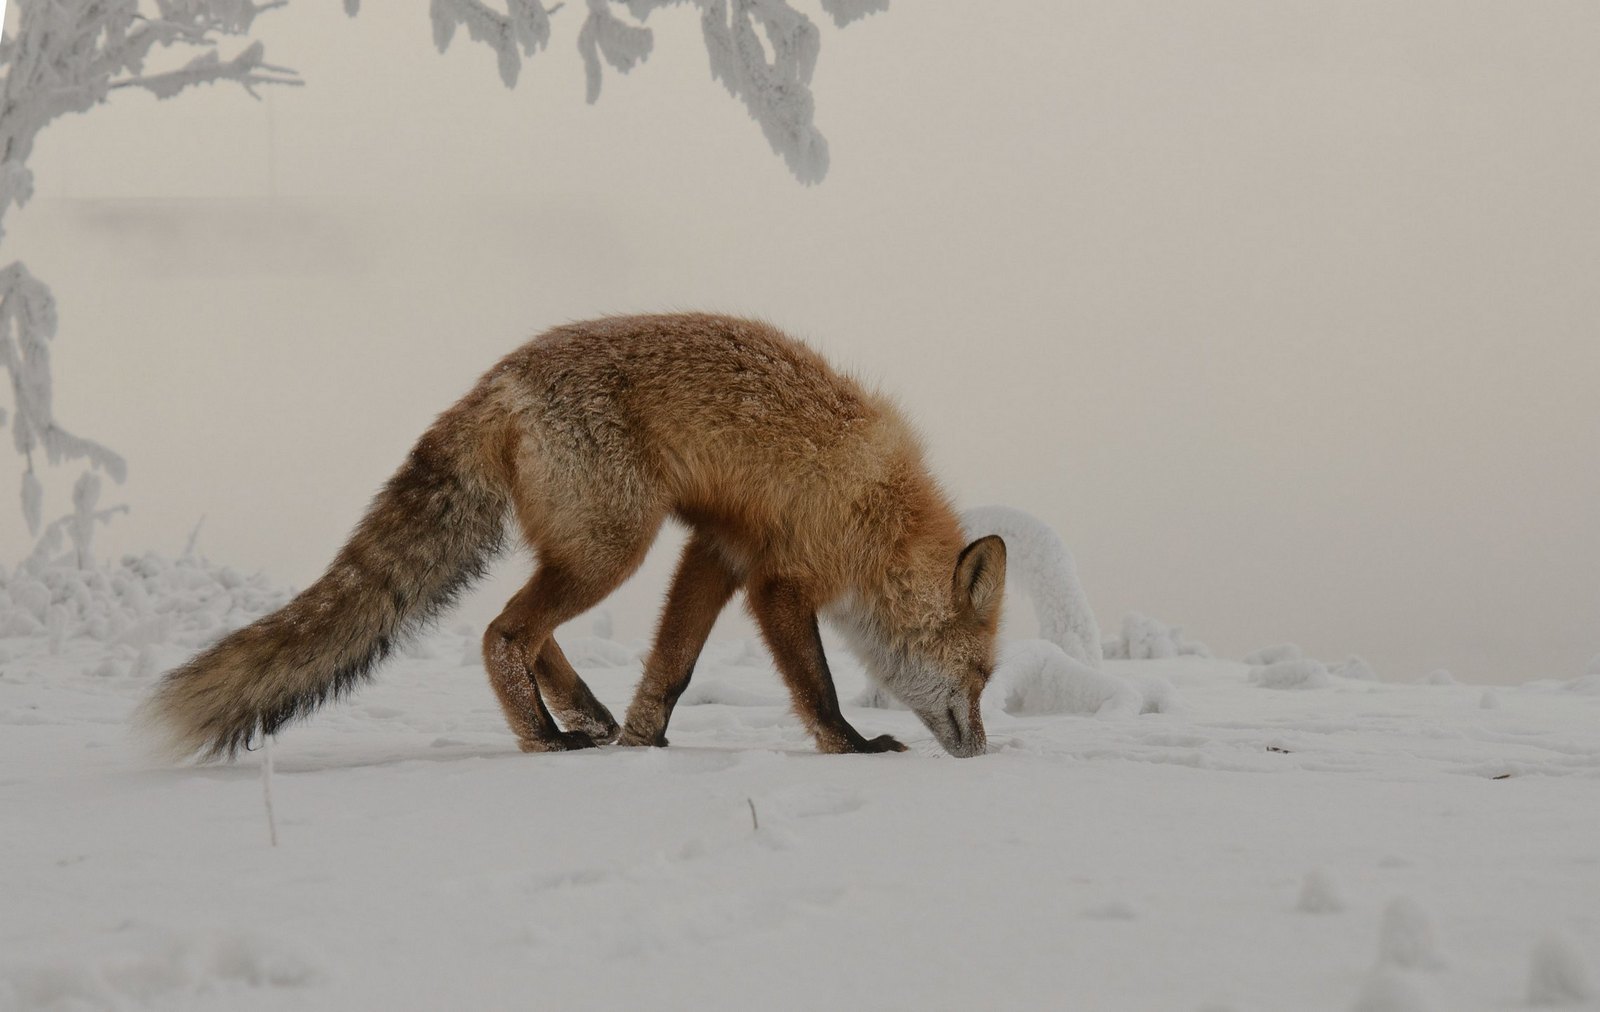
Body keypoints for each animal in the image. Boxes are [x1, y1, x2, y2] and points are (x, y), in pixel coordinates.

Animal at [144, 313, 1004, 759]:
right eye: (982, 677)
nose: (983, 750)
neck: (883, 512)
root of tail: (499, 378)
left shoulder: (720, 552)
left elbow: (672, 669)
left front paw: (645, 742)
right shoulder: (780, 581)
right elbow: (817, 685)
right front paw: (851, 747)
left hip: (591, 546)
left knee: (530, 634)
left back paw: (587, 718)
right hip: (614, 548)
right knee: (502, 632)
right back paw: (544, 738)